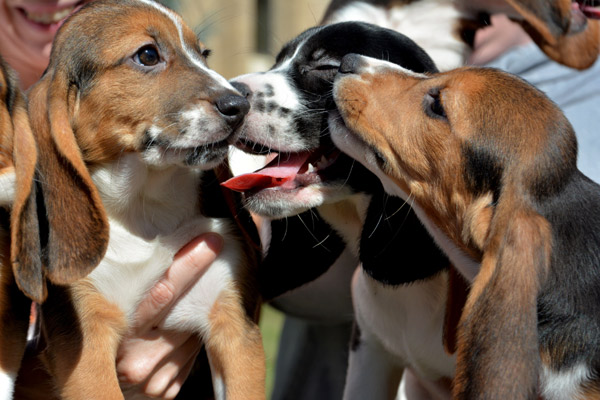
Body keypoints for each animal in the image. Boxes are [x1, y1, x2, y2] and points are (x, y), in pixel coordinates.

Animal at [21, 1, 264, 398]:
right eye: (148, 55)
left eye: (204, 54)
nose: (241, 105)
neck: (145, 209)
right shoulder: (87, 349)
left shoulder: (234, 328)